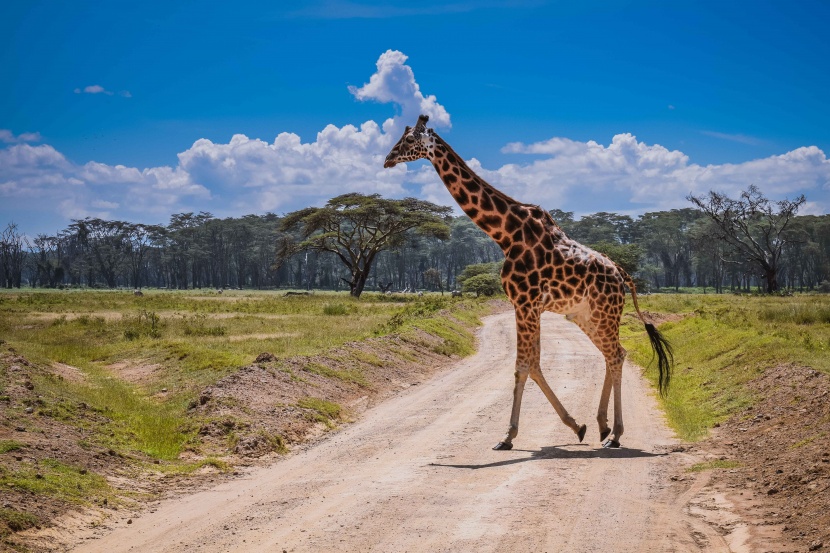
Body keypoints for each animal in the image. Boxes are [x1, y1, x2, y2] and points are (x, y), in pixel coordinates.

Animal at [386, 114, 672, 446]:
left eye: (409, 140)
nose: (387, 159)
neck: (505, 234)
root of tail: (621, 273)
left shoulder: (524, 303)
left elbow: (524, 366)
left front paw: (509, 436)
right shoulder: (528, 306)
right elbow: (532, 365)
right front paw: (577, 426)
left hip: (605, 313)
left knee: (614, 356)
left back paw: (615, 434)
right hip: (585, 316)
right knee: (615, 354)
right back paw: (603, 425)